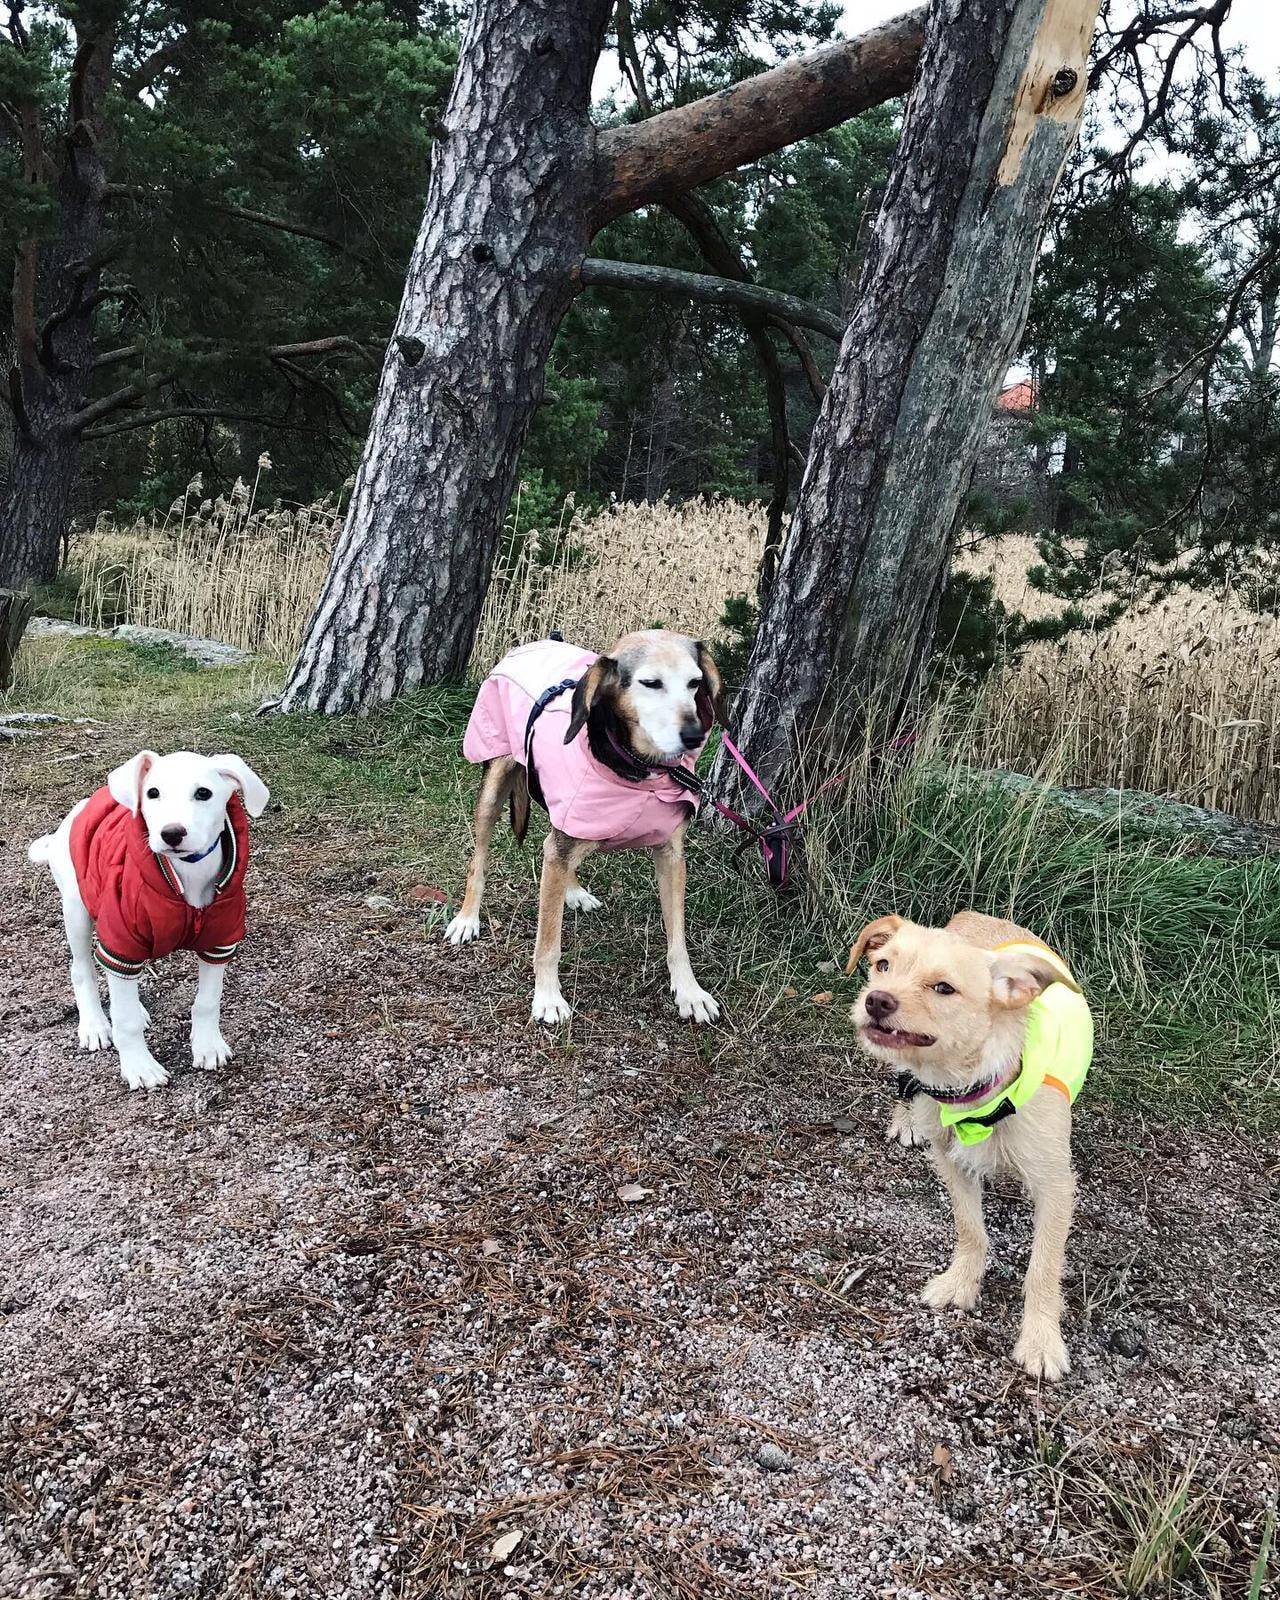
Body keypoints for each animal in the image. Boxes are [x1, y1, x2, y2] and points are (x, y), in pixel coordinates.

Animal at [28, 745, 267, 1088]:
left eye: (204, 793)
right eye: (152, 793)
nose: (171, 833)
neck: (186, 874)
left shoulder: (219, 942)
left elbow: (207, 1001)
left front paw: (207, 1046)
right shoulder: (122, 942)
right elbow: (124, 1019)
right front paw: (140, 1066)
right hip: (77, 909)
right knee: (82, 969)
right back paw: (95, 1025)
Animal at [444, 627, 720, 1024]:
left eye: (695, 683)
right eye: (651, 683)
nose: (695, 735)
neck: (638, 769)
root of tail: (542, 640)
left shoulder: (671, 856)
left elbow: (678, 939)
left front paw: (690, 992)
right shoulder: (560, 845)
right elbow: (548, 941)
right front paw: (547, 997)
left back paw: (572, 891)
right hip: (494, 785)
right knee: (478, 860)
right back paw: (467, 918)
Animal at [851, 915, 1088, 1388]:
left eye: (944, 988)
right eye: (883, 964)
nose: (876, 1000)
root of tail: (982, 917)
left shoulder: (1055, 1187)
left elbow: (1043, 1268)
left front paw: (1040, 1341)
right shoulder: (950, 1161)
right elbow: (970, 1229)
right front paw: (960, 1283)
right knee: (903, 1081)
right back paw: (907, 1118)